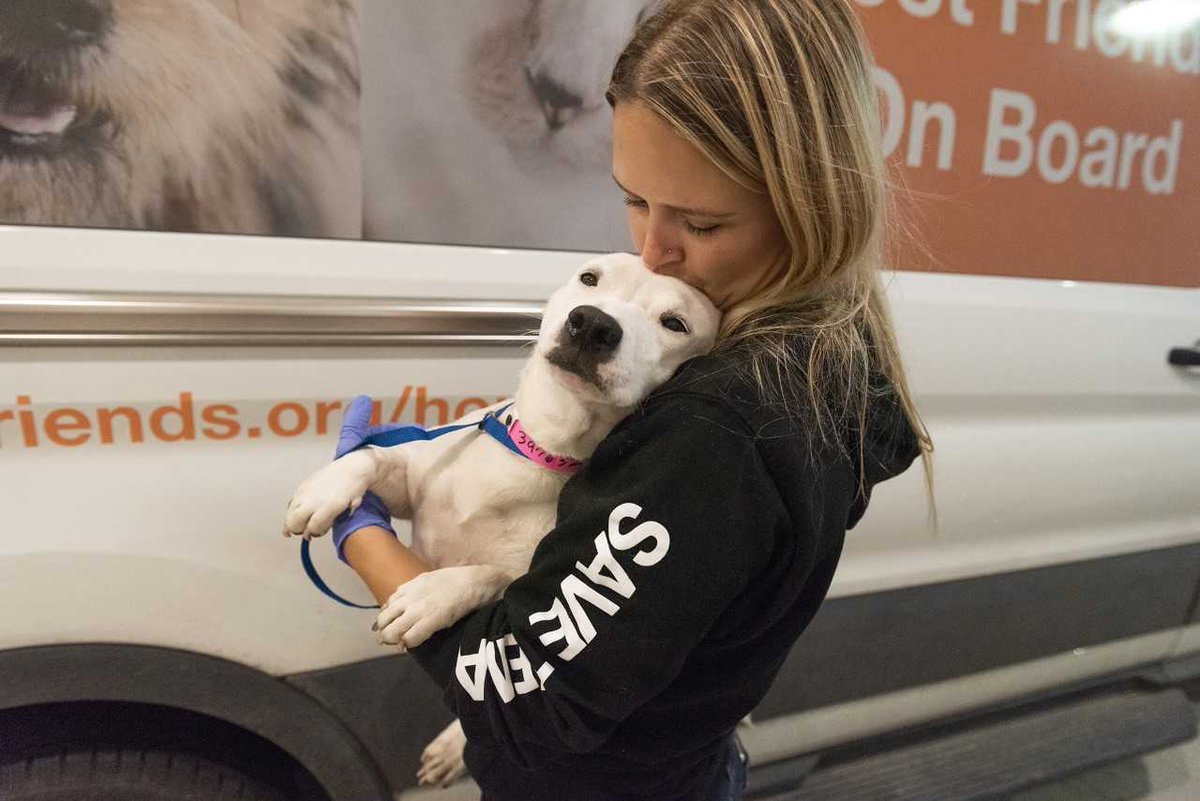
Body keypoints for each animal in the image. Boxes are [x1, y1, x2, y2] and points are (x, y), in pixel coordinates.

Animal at [284, 251, 715, 786]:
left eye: (675, 323)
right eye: (589, 279)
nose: (593, 323)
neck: (541, 448)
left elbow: (489, 574)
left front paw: (430, 597)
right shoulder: (409, 481)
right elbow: (373, 456)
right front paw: (327, 487)